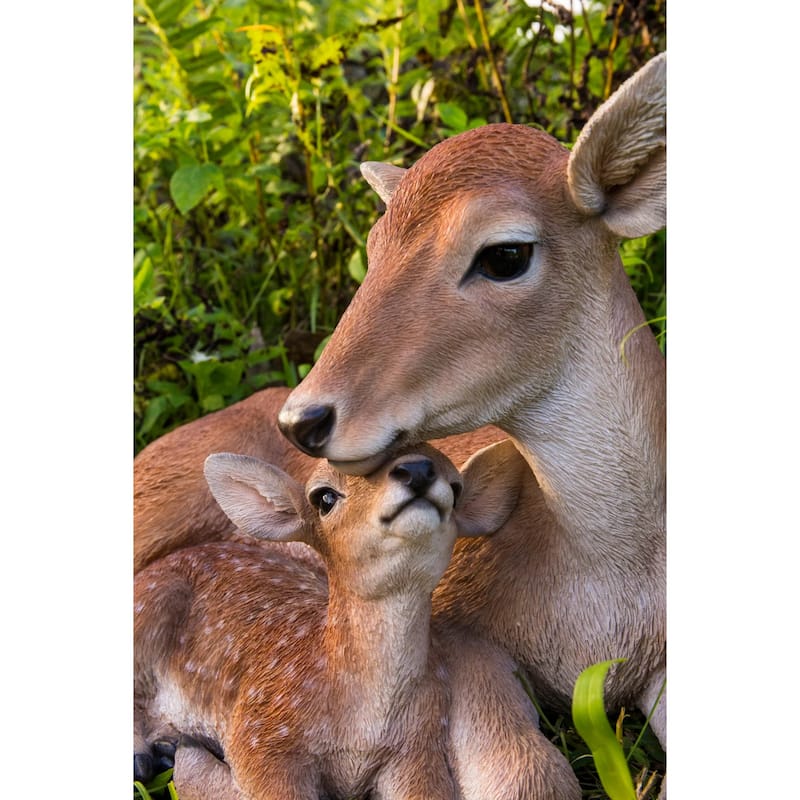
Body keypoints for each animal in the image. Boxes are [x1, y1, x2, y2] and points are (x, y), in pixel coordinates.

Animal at [134, 442, 581, 800]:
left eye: (456, 487)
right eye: (324, 497)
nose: (418, 469)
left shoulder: (417, 748)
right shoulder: (261, 736)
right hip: (149, 604)